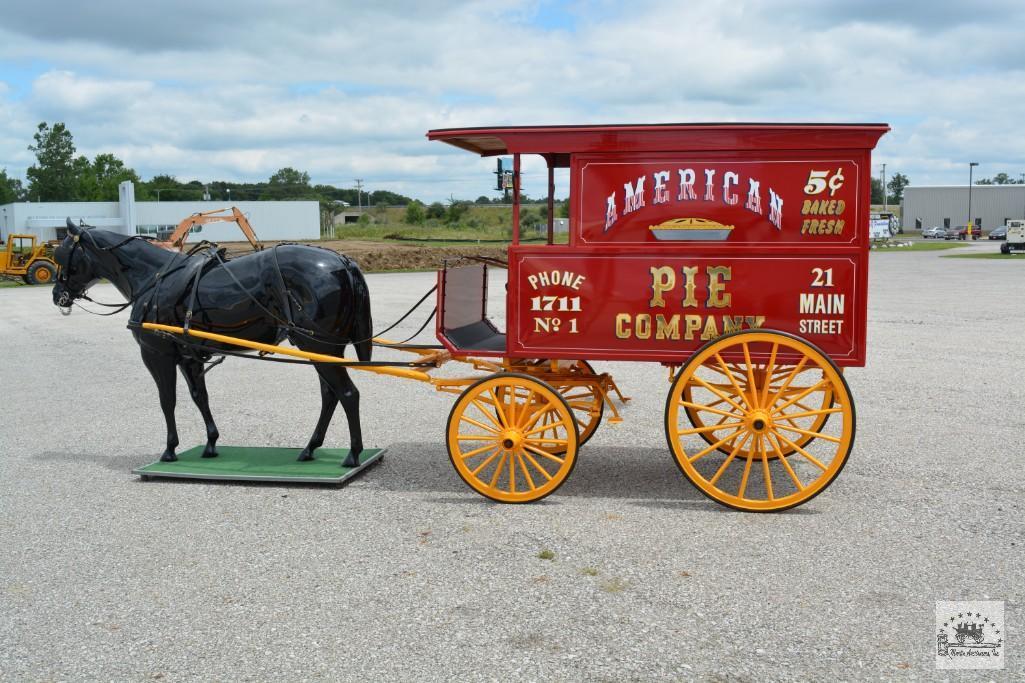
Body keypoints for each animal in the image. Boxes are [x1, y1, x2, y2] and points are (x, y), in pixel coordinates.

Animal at [50, 220, 373, 465]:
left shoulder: (156, 354)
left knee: (347, 394)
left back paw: (353, 453)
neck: (154, 277)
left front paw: (170, 449)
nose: (57, 295)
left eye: (63, 254)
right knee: (330, 395)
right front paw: (210, 443)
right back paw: (310, 448)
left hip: (318, 346)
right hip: (324, 349)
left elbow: (167, 400)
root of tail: (343, 262)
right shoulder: (189, 357)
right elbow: (199, 397)